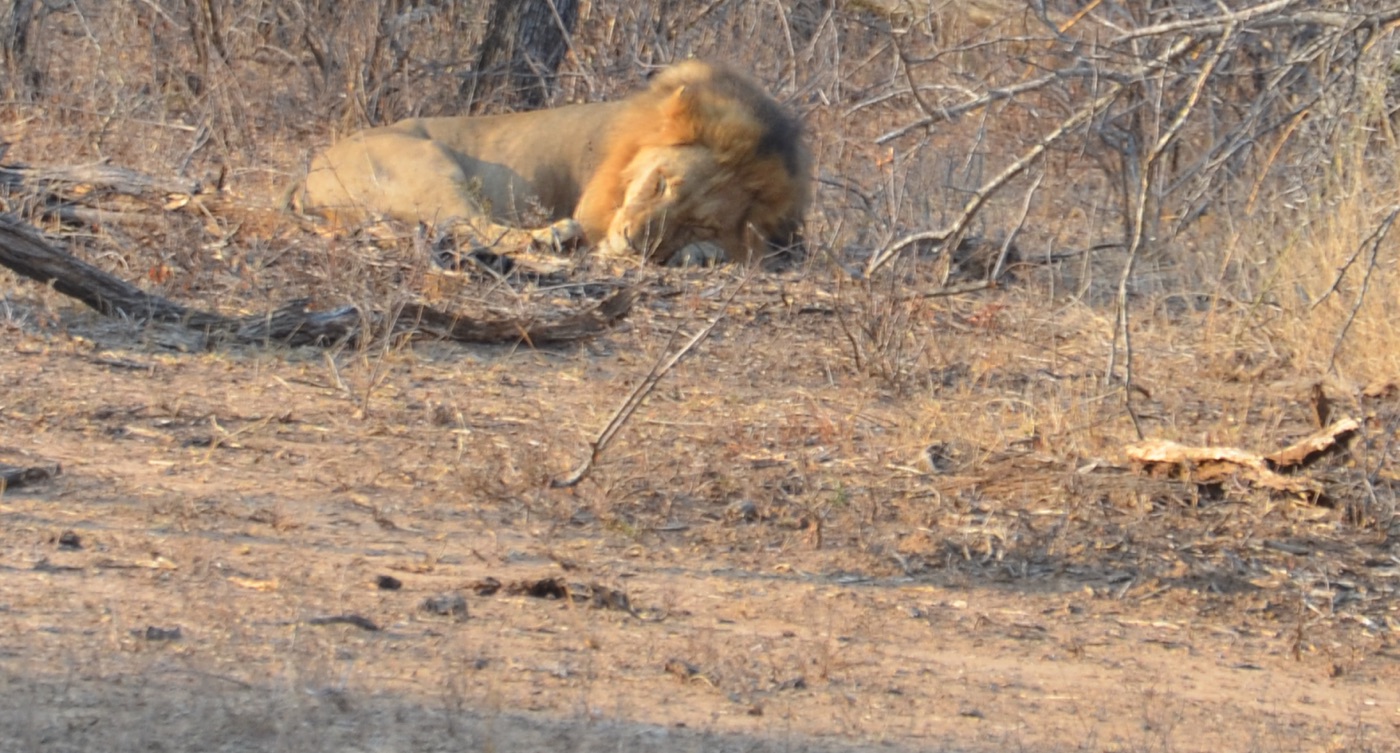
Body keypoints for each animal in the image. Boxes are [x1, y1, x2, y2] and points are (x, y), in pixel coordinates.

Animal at [294, 60, 810, 266]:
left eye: (699, 223)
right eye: (662, 183)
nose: (632, 241)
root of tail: (310, 170)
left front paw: (700, 254)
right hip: (429, 165)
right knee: (465, 224)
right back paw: (553, 237)